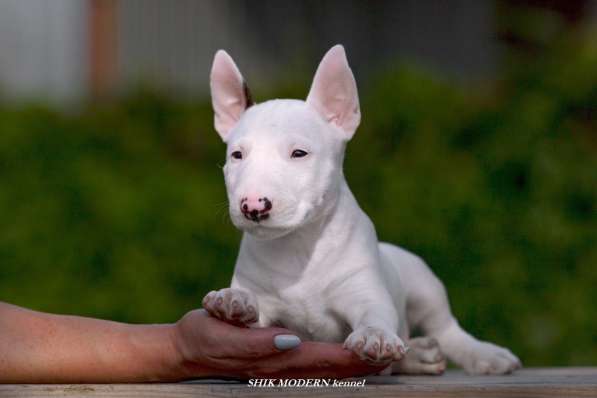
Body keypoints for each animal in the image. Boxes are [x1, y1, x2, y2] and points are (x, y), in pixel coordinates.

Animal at [203, 45, 520, 374]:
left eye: (299, 153)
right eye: (237, 155)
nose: (252, 205)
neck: (300, 246)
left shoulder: (364, 292)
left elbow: (375, 314)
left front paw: (375, 336)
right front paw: (233, 300)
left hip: (424, 284)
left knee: (446, 329)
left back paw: (485, 355)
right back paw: (421, 355)